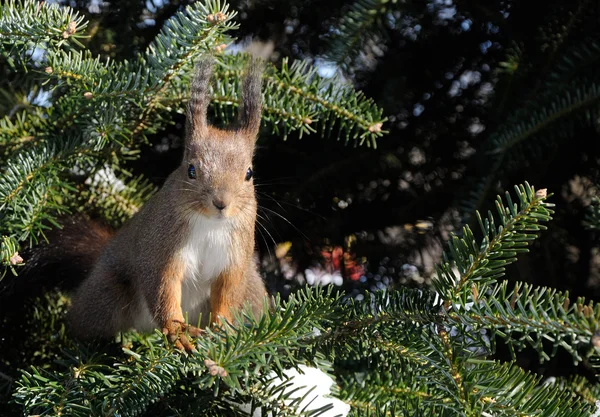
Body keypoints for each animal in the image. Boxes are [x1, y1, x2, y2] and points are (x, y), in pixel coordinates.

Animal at [65, 57, 268, 352]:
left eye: (249, 173)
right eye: (191, 170)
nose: (221, 203)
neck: (209, 224)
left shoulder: (235, 257)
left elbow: (227, 293)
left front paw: (224, 329)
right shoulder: (162, 247)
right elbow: (163, 287)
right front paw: (177, 331)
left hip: (253, 290)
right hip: (108, 294)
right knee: (84, 323)